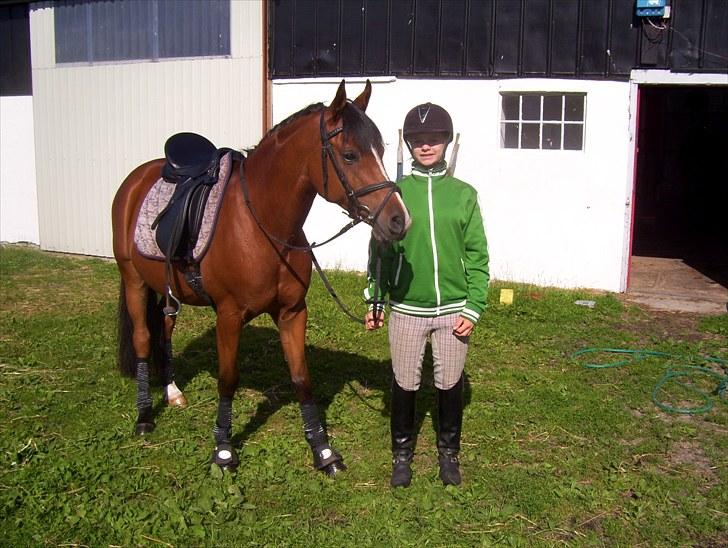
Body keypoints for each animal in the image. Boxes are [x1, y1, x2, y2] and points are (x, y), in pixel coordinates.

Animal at [112, 81, 410, 476]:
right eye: (349, 155)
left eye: (381, 151)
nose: (399, 220)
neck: (263, 224)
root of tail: (135, 180)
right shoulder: (228, 316)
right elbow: (228, 380)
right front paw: (223, 450)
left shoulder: (292, 313)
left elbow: (301, 377)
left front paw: (323, 450)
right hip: (133, 280)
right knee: (144, 339)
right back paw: (145, 416)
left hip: (167, 291)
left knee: (165, 330)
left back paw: (172, 392)